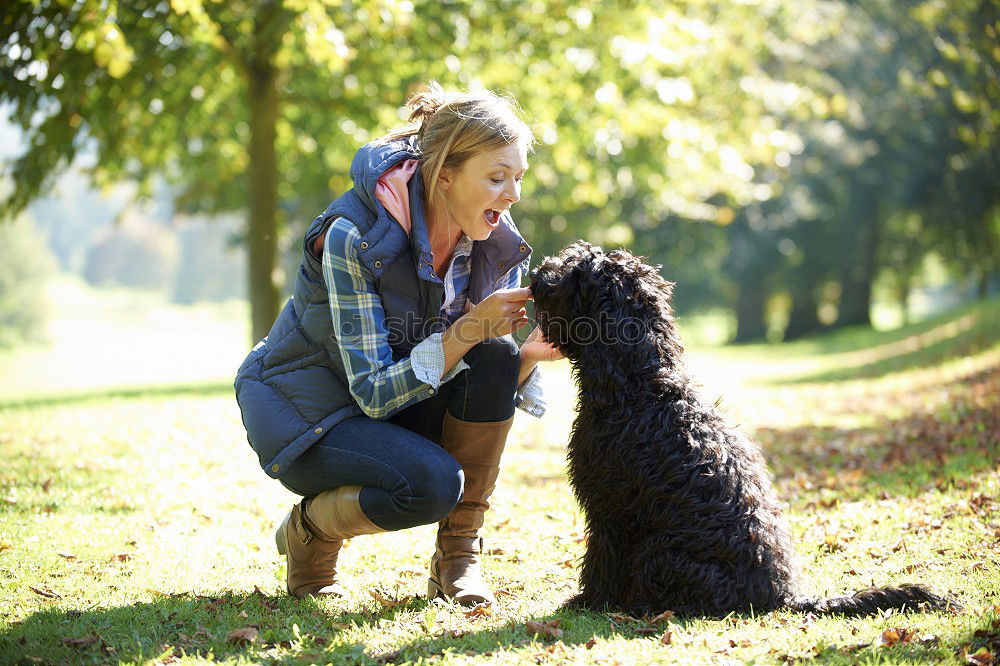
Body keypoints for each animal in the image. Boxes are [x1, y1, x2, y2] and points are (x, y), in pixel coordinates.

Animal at [528, 241, 956, 616]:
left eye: (578, 272)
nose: (537, 273)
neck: (642, 385)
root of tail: (782, 596)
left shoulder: (611, 510)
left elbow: (602, 560)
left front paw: (589, 601)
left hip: (659, 552)